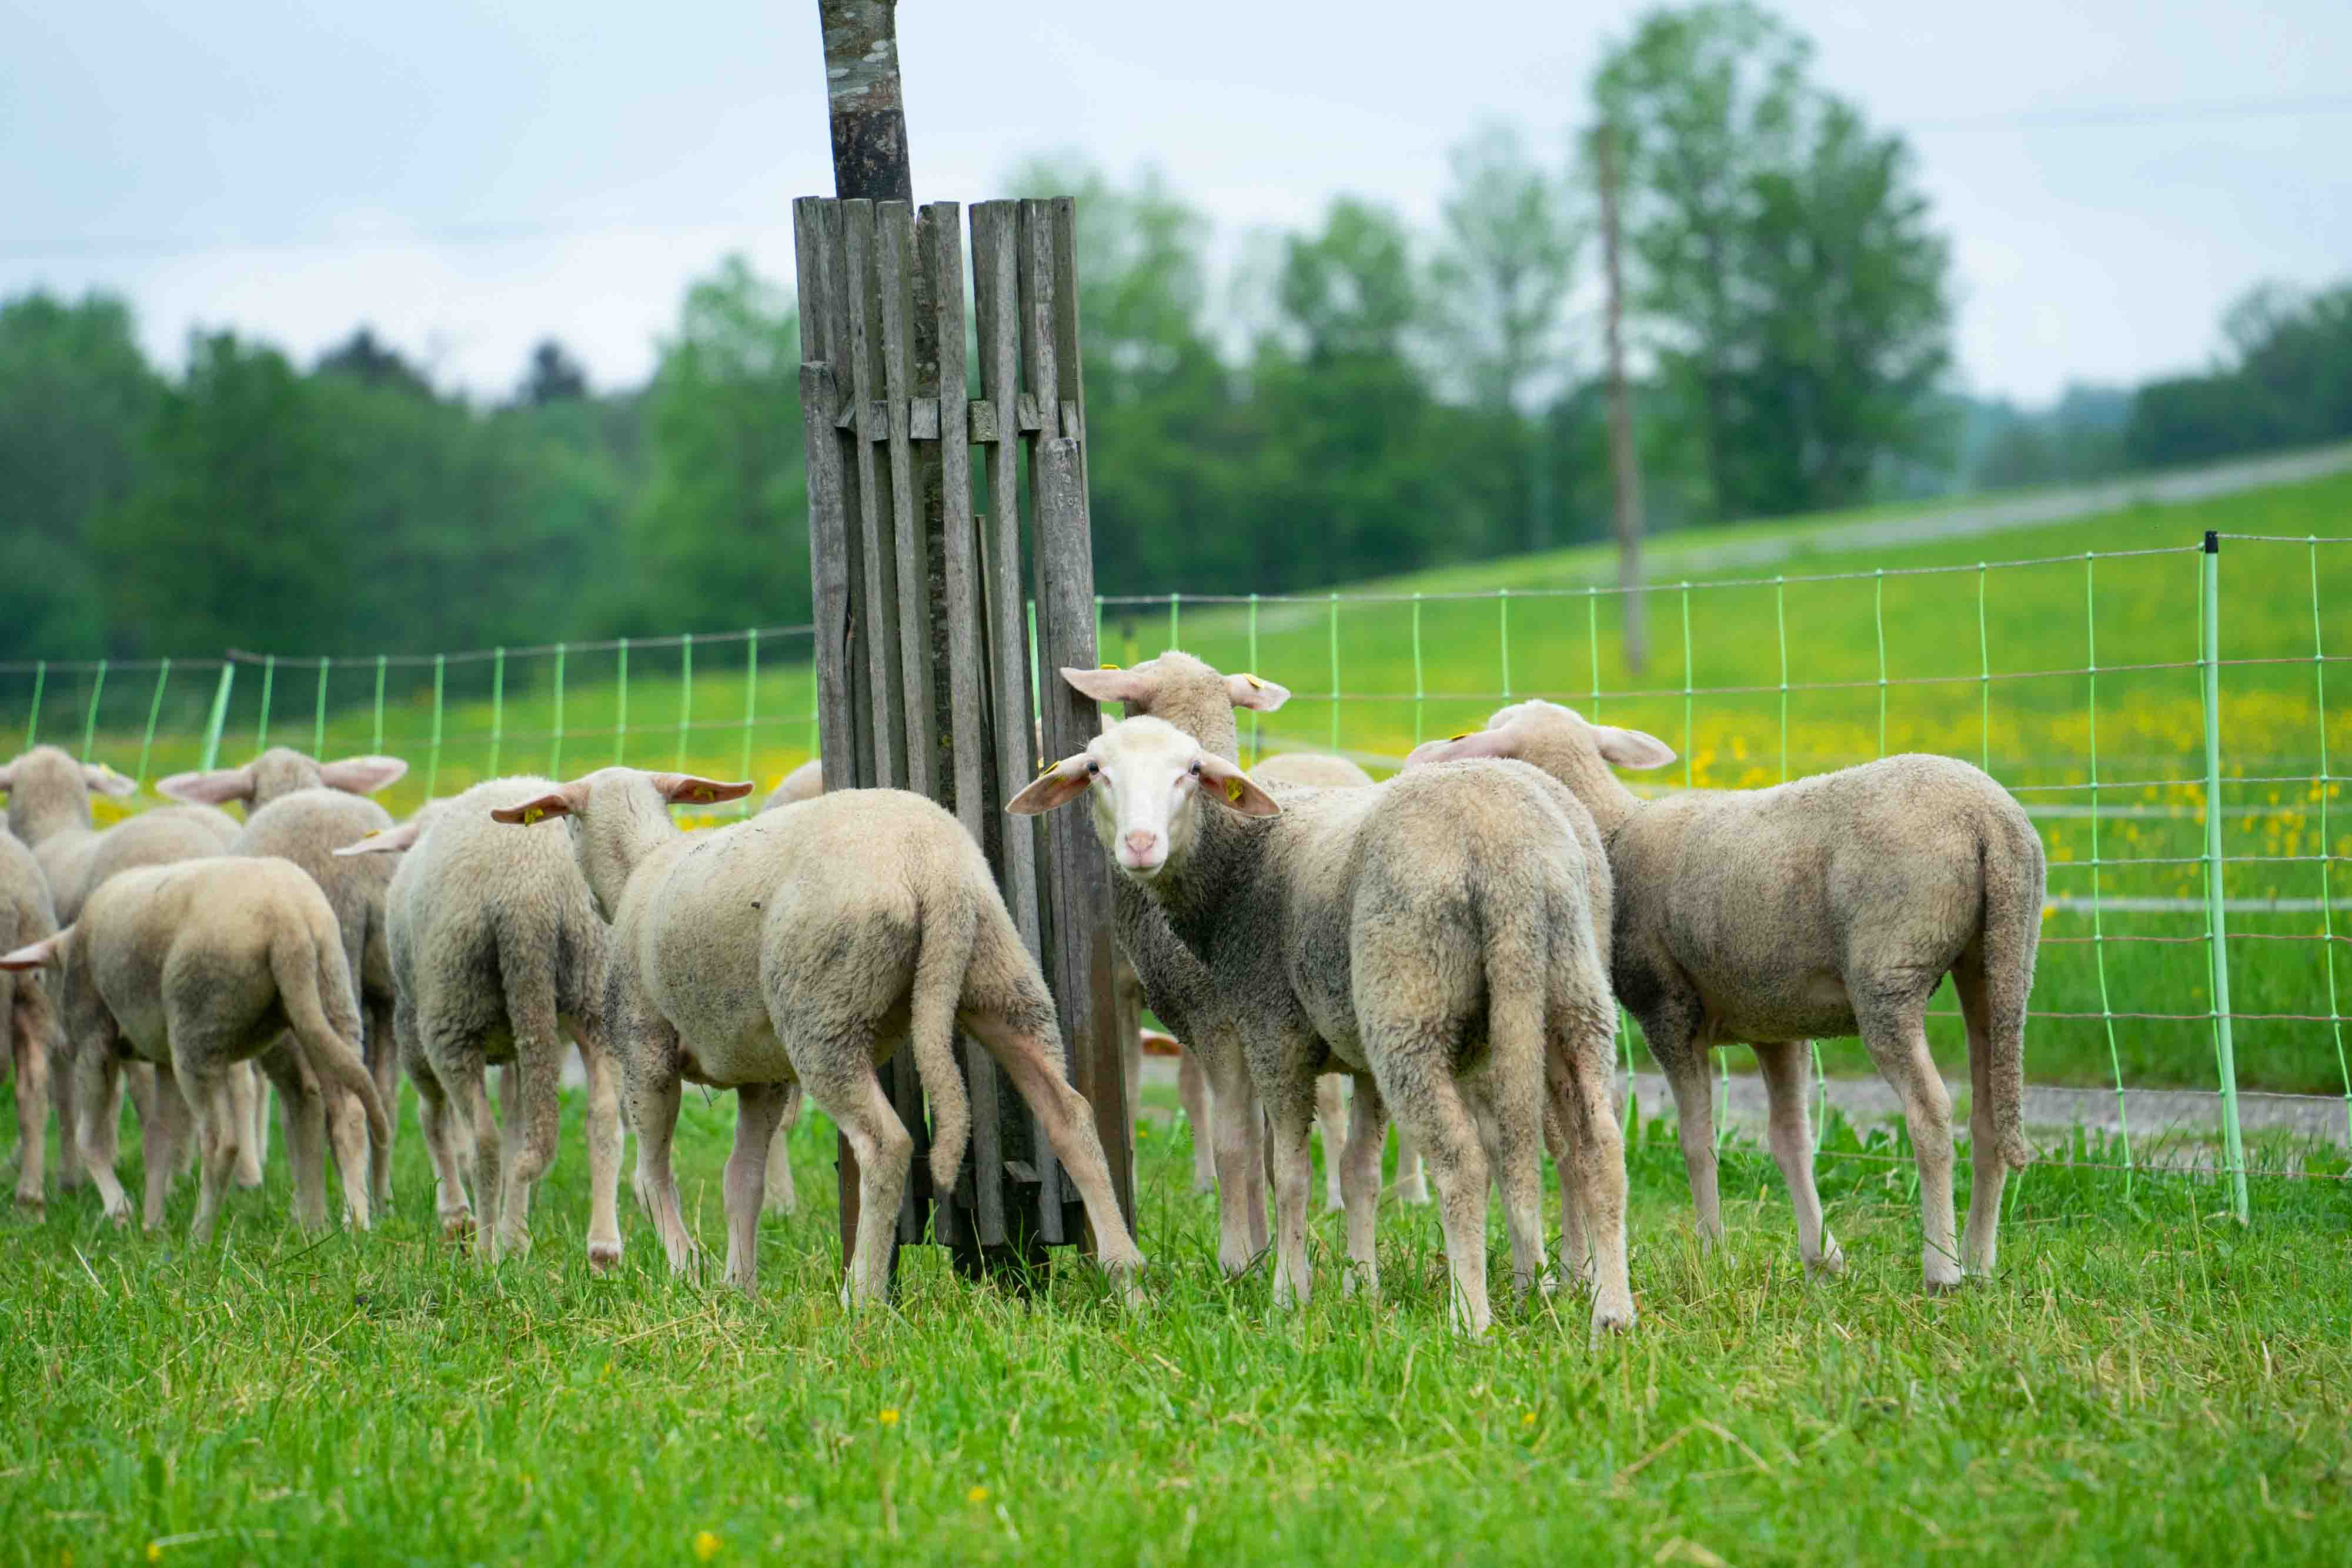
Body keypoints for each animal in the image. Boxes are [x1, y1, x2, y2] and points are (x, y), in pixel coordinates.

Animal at [0, 856, 391, 1242]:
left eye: (39, 978)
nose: (62, 1046)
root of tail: (290, 926)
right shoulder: (162, 1060)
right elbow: (158, 1138)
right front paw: (152, 1226)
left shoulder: (93, 1038)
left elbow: (90, 1140)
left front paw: (121, 1211)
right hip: (328, 999)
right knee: (338, 1112)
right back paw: (344, 1225)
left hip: (198, 1030)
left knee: (223, 1140)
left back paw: (200, 1236)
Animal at [488, 768, 1145, 1305]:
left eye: (567, 823)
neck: (639, 868)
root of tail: (932, 866)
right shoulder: (763, 1076)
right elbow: (742, 1181)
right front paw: (739, 1288)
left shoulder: (643, 1049)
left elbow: (653, 1177)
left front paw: (686, 1270)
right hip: (1001, 978)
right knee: (1070, 1116)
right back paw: (1126, 1278)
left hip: (822, 1009)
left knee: (886, 1144)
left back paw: (862, 1296)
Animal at [1010, 705, 1631, 1339]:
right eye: (1095, 770)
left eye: (1191, 770)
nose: (1140, 844)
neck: (1239, 866)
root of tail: (1509, 858)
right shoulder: (1359, 1056)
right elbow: (1359, 1172)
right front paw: (1363, 1287)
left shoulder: (1272, 1031)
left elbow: (1288, 1173)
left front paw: (1289, 1293)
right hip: (1570, 994)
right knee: (1600, 1146)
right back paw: (1609, 1311)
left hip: (1408, 1004)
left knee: (1462, 1162)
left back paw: (1471, 1319)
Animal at [1406, 700, 2043, 1290]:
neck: (1614, 831)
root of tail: (1993, 821)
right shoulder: (1776, 1024)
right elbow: (1790, 1141)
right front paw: (1821, 1259)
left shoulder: (1668, 1010)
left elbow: (1697, 1140)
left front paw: (1712, 1251)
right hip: (1996, 960)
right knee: (1988, 1111)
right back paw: (1980, 1261)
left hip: (1890, 967)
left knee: (1930, 1112)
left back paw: (1942, 1269)